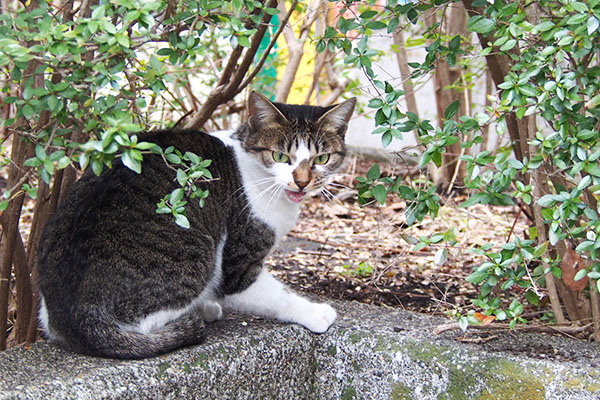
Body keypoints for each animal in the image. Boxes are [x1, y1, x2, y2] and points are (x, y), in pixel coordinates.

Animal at [36, 91, 356, 360]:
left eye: (321, 158)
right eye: (280, 156)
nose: (302, 182)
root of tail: (76, 316)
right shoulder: (238, 265)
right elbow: (276, 295)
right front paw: (315, 313)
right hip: (200, 254)